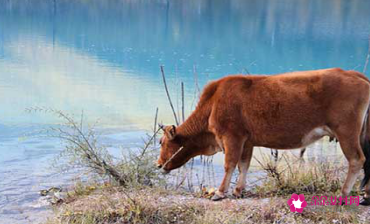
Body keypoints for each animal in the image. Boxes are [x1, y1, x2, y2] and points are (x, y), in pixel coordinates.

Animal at [157, 68, 370, 205]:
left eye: (161, 142)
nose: (158, 164)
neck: (213, 103)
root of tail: (353, 74)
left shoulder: (232, 137)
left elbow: (229, 164)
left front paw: (219, 192)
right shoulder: (247, 141)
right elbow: (243, 165)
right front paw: (238, 191)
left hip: (346, 132)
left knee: (356, 160)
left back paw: (343, 194)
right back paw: (365, 196)